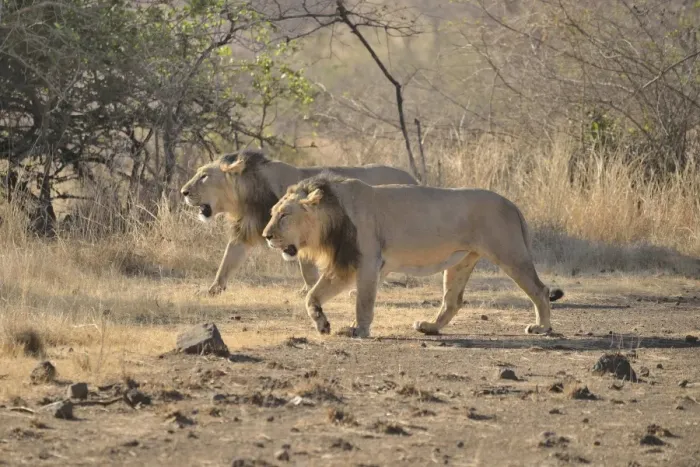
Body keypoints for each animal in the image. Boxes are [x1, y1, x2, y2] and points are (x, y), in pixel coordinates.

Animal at [180, 149, 417, 295]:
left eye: (204, 176)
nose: (183, 192)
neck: (246, 197)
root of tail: (412, 178)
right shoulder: (245, 231)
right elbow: (227, 261)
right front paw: (213, 289)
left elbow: (307, 269)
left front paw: (310, 290)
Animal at [262, 174, 564, 338]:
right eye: (272, 213)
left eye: (285, 216)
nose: (266, 235)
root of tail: (512, 204)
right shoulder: (345, 265)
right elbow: (312, 296)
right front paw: (322, 324)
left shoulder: (368, 261)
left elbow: (363, 302)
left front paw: (358, 330)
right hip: (461, 261)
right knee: (452, 301)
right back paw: (429, 327)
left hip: (510, 253)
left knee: (539, 289)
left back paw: (542, 328)